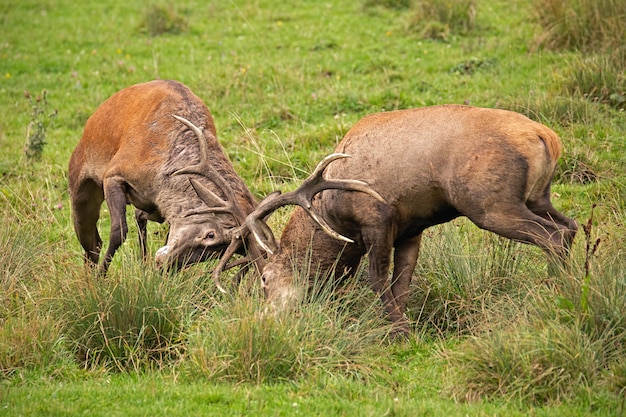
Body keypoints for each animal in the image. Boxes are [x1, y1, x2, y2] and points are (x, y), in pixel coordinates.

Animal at [213, 105, 576, 334]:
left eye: (265, 279)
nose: (264, 318)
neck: (333, 214)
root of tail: (547, 137)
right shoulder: (410, 230)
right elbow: (402, 285)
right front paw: (402, 325)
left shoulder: (378, 218)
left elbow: (377, 281)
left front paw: (399, 330)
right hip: (538, 196)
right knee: (570, 226)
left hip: (489, 203)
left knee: (552, 235)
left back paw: (556, 289)